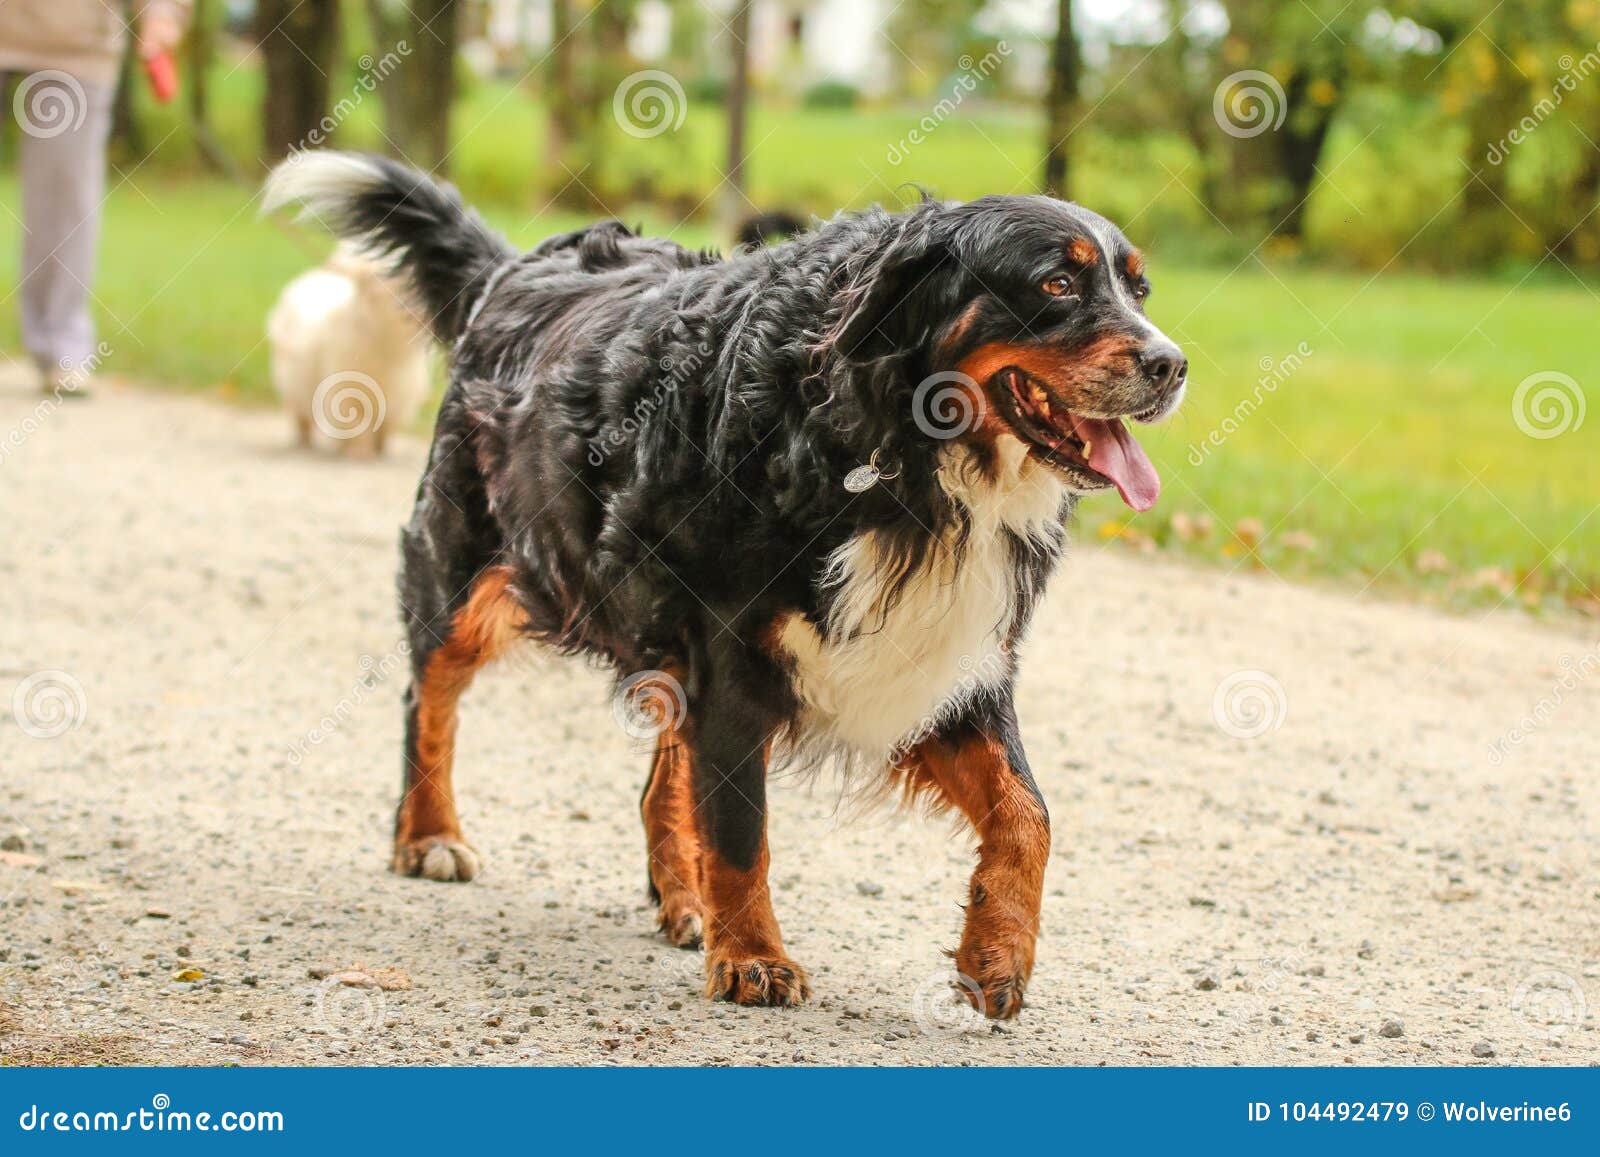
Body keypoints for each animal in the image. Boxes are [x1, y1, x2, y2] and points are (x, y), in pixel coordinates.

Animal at [268, 244, 432, 457]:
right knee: (301, 418)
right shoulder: (349, 392)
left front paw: (380, 450)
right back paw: (306, 442)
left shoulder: (401, 393)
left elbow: (387, 426)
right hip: (293, 385)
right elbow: (358, 424)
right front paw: (359, 452)